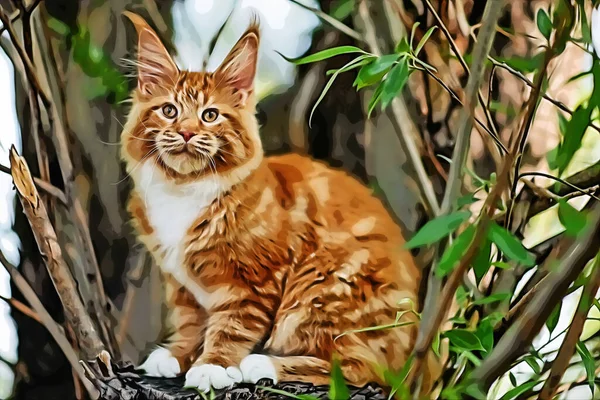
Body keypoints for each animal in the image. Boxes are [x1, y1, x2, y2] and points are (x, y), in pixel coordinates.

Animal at [120, 11, 436, 394]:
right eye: (169, 111)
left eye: (210, 115)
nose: (185, 132)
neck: (183, 190)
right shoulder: (182, 286)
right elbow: (189, 322)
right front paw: (177, 355)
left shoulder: (254, 281)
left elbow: (231, 327)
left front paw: (212, 365)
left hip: (321, 287)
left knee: (359, 369)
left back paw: (263, 363)